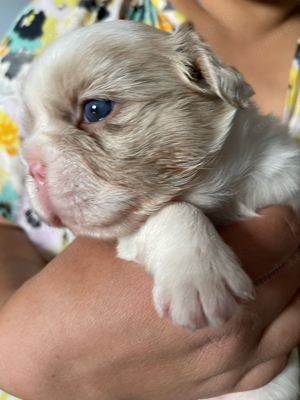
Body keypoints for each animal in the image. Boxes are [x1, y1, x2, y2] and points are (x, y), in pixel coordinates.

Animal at [19, 21, 298, 400]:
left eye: (96, 109)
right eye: (27, 130)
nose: (31, 166)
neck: (222, 194)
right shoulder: (133, 233)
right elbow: (174, 212)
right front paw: (200, 277)